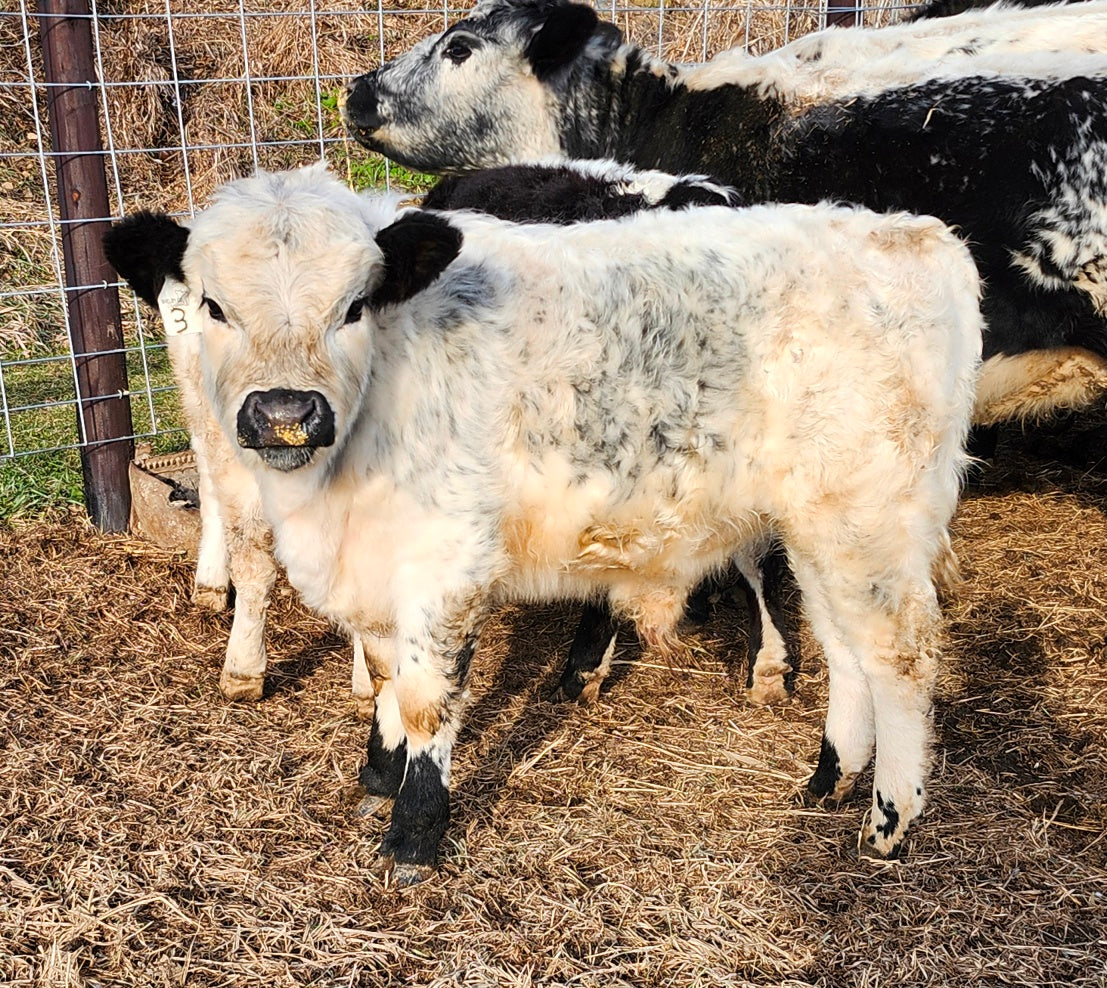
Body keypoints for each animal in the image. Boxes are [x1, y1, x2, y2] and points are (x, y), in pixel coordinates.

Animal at [105, 165, 982, 883]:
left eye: (352, 308)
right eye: (214, 307)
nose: (285, 413)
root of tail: (913, 233)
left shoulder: (447, 565)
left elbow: (425, 700)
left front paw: (412, 836)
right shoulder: (377, 565)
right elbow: (386, 678)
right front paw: (377, 778)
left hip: (867, 520)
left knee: (898, 654)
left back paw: (888, 820)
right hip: (815, 528)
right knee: (843, 646)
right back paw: (830, 776)